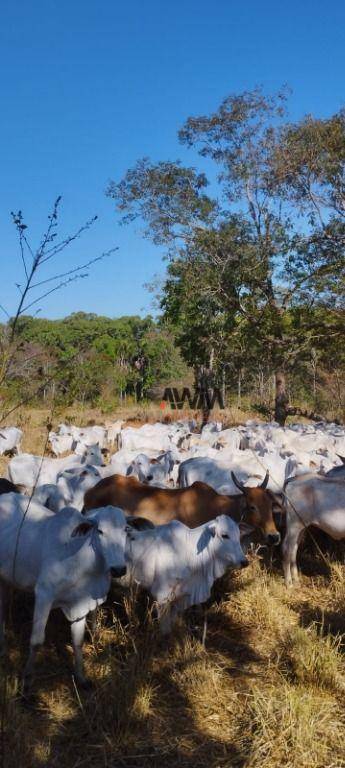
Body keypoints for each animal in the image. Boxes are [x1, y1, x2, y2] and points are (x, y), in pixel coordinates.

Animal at [0, 496, 127, 692]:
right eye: (100, 531)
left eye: (126, 530)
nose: (119, 569)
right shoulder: (44, 595)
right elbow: (36, 641)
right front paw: (27, 681)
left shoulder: (80, 603)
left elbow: (77, 642)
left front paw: (81, 678)